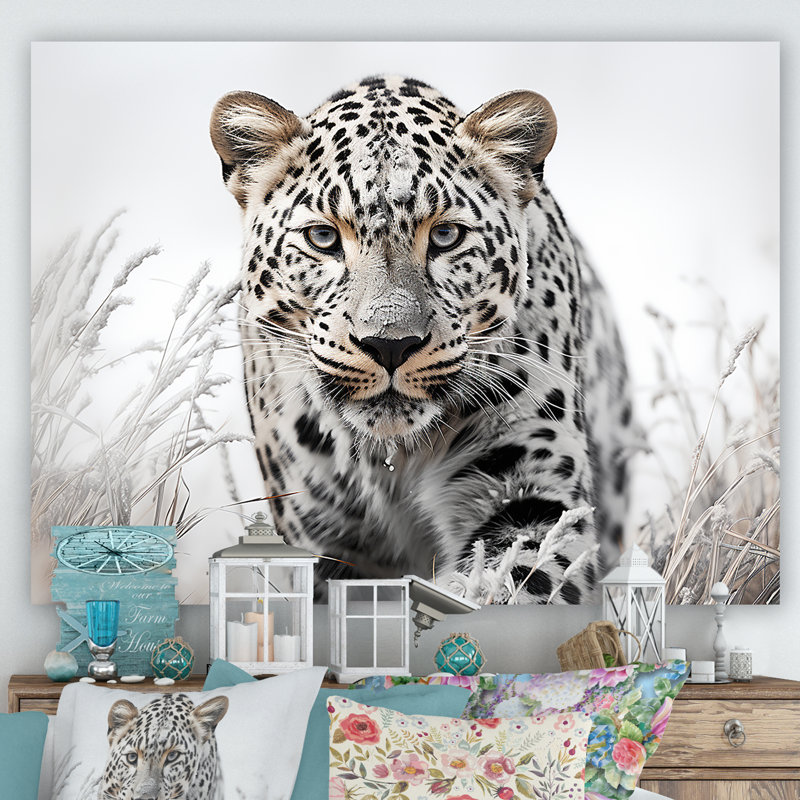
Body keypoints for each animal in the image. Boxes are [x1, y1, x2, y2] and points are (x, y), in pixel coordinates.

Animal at [210, 75, 634, 604]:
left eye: (447, 236)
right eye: (323, 239)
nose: (390, 344)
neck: (391, 460)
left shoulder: (532, 480)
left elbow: (517, 576)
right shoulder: (321, 531)